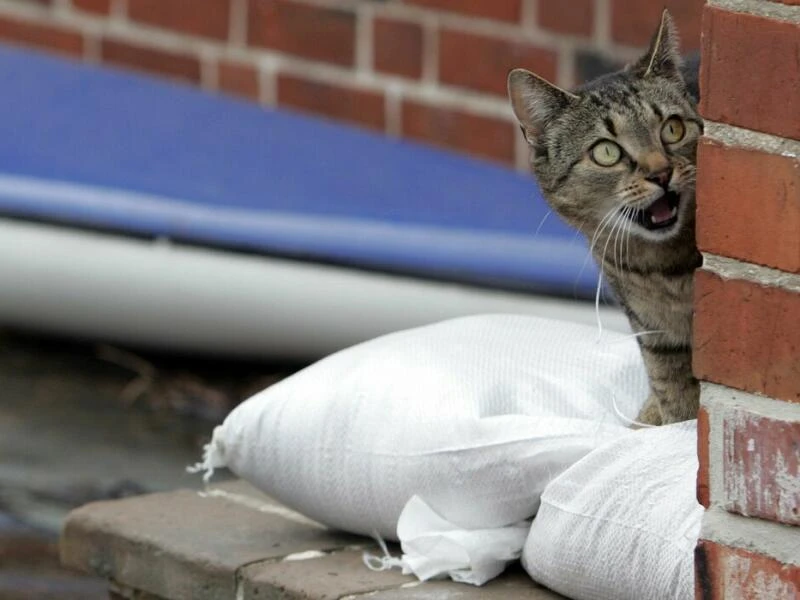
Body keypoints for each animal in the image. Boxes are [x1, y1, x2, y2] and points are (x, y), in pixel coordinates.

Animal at [510, 8, 704, 422]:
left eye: (673, 128)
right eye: (606, 152)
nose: (661, 173)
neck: (665, 268)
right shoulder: (657, 334)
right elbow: (675, 394)